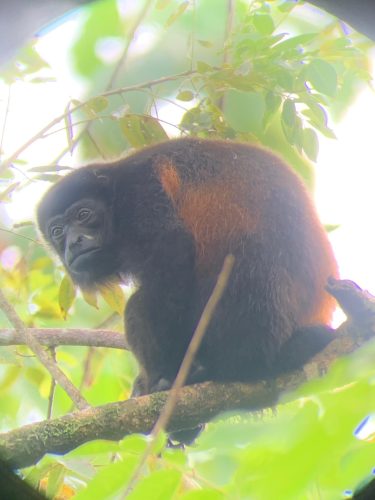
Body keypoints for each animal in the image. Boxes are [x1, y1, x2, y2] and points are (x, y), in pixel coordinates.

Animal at [36, 138, 340, 394]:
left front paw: (168, 372)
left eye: (83, 214)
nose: (73, 242)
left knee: (141, 304)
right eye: (57, 231)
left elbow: (171, 255)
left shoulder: (140, 193)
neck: (114, 199)